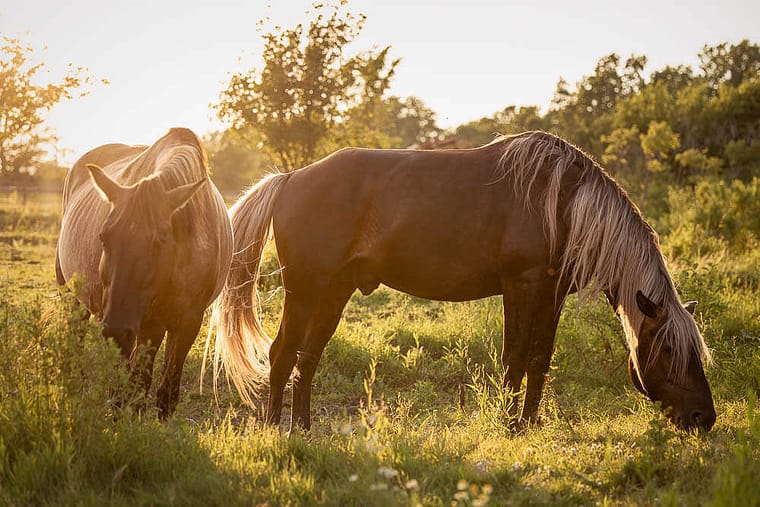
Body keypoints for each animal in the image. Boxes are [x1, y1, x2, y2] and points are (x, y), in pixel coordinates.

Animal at [56, 128, 233, 418]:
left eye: (160, 241)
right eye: (103, 237)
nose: (115, 331)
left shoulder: (187, 323)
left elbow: (166, 393)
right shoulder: (149, 324)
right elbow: (136, 387)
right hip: (76, 300)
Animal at [211, 130, 716, 432]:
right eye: (668, 350)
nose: (703, 417)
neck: (563, 205)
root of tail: (291, 177)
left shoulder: (551, 295)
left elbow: (539, 359)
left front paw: (528, 425)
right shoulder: (521, 287)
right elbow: (514, 358)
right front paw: (508, 426)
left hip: (335, 292)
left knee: (308, 357)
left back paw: (306, 428)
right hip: (305, 290)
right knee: (282, 353)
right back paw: (276, 429)